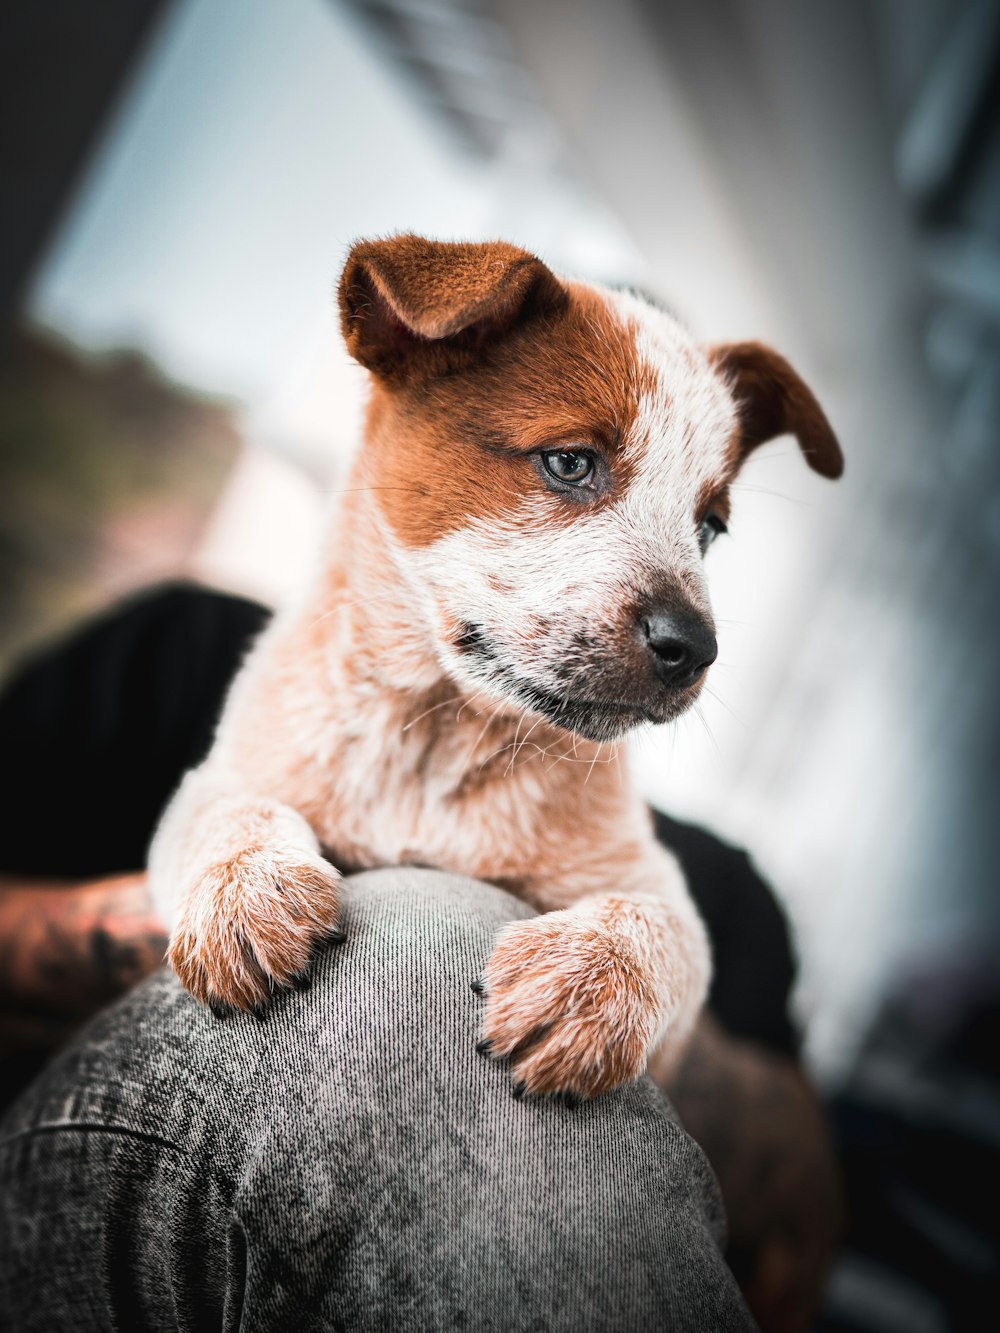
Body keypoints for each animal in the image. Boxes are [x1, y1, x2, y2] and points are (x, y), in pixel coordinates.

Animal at [144, 234, 842, 1098]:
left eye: (709, 526)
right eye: (571, 462)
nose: (694, 649)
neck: (437, 743)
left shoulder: (647, 885)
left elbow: (662, 924)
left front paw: (589, 983)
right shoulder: (232, 773)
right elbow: (227, 809)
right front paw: (246, 893)